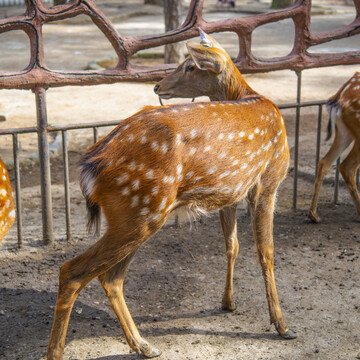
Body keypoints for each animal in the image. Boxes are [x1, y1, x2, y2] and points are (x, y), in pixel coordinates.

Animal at [47, 29, 296, 358]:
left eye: (190, 66)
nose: (156, 85)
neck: (252, 96)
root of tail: (91, 164)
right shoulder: (269, 180)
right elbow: (266, 252)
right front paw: (282, 325)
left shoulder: (231, 192)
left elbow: (232, 245)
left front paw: (228, 302)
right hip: (142, 209)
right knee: (72, 271)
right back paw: (60, 351)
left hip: (136, 214)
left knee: (111, 277)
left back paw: (143, 344)